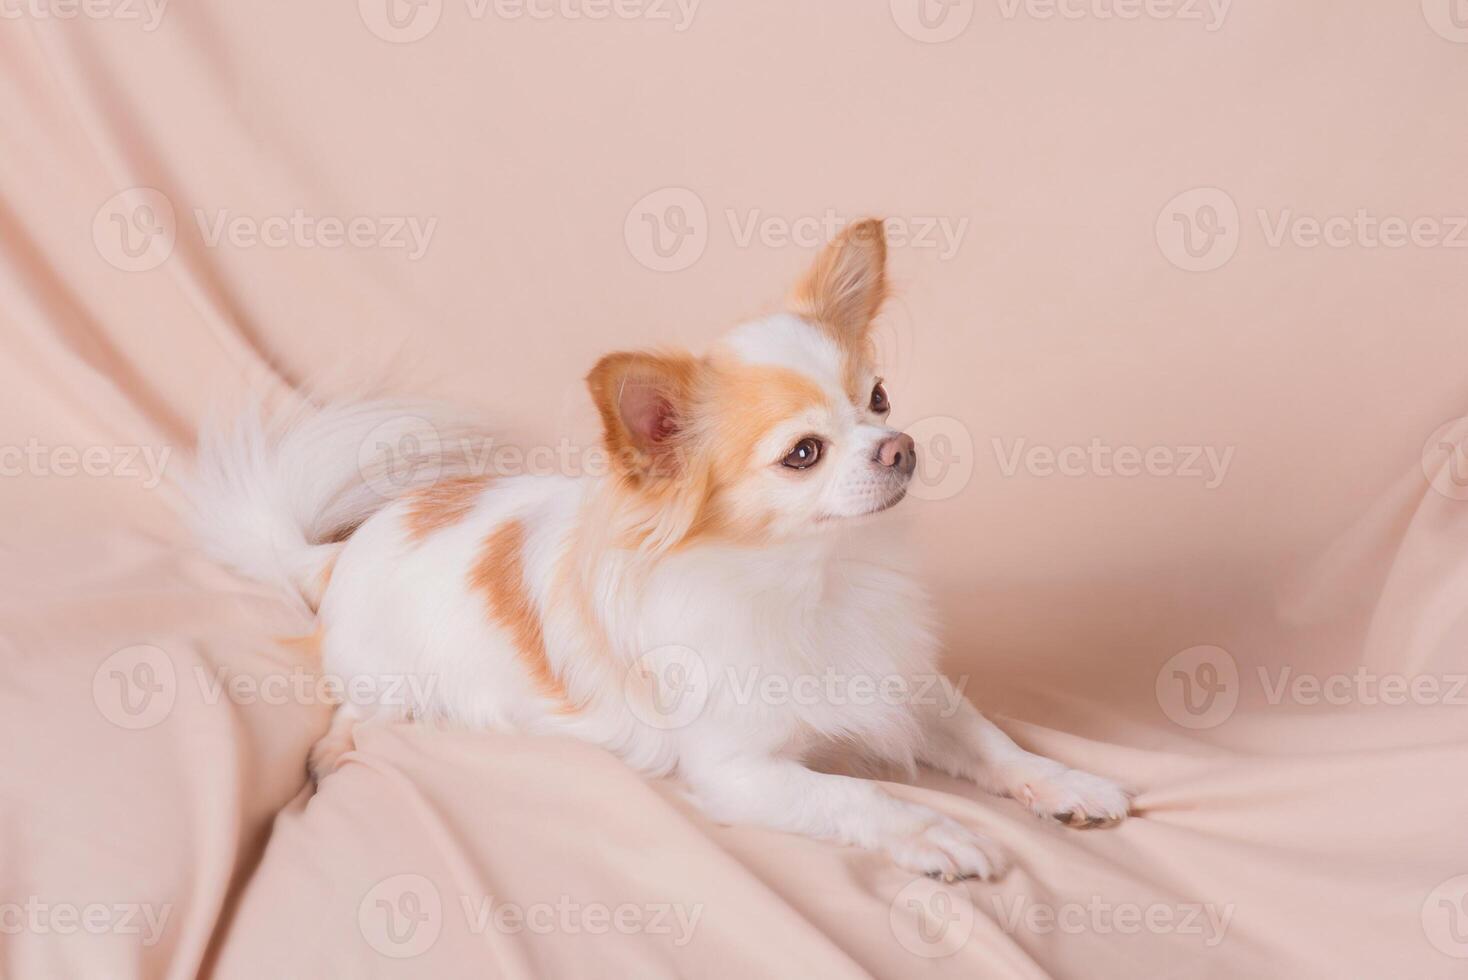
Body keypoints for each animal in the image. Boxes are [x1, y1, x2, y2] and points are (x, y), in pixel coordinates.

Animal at [189, 221, 1127, 880]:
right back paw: (333, 753)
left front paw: (1063, 783)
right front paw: (938, 830)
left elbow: (988, 739)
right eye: (803, 454)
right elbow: (854, 795)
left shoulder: (902, 684)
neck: (815, 580)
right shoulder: (738, 769)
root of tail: (348, 547)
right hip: (385, 675)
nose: (900, 448)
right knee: (357, 708)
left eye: (881, 399)